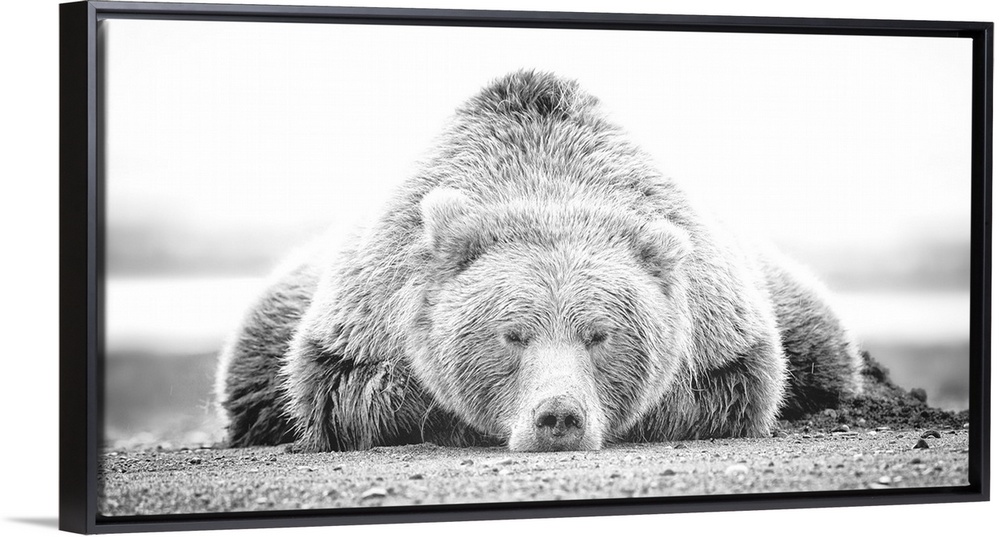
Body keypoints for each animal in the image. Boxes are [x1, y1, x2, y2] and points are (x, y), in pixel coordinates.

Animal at [215, 69, 864, 450]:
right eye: (512, 334)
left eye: (600, 335)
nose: (559, 417)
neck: (545, 180)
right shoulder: (365, 315)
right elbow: (346, 392)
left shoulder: (720, 326)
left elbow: (730, 387)